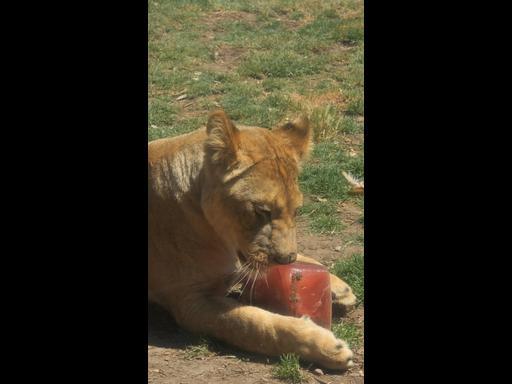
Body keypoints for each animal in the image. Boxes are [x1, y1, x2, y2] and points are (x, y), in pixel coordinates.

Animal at [148, 110, 356, 368]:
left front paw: (338, 286)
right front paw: (326, 347)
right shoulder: (189, 303)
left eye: (297, 211)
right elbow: (251, 324)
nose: (286, 260)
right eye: (262, 211)